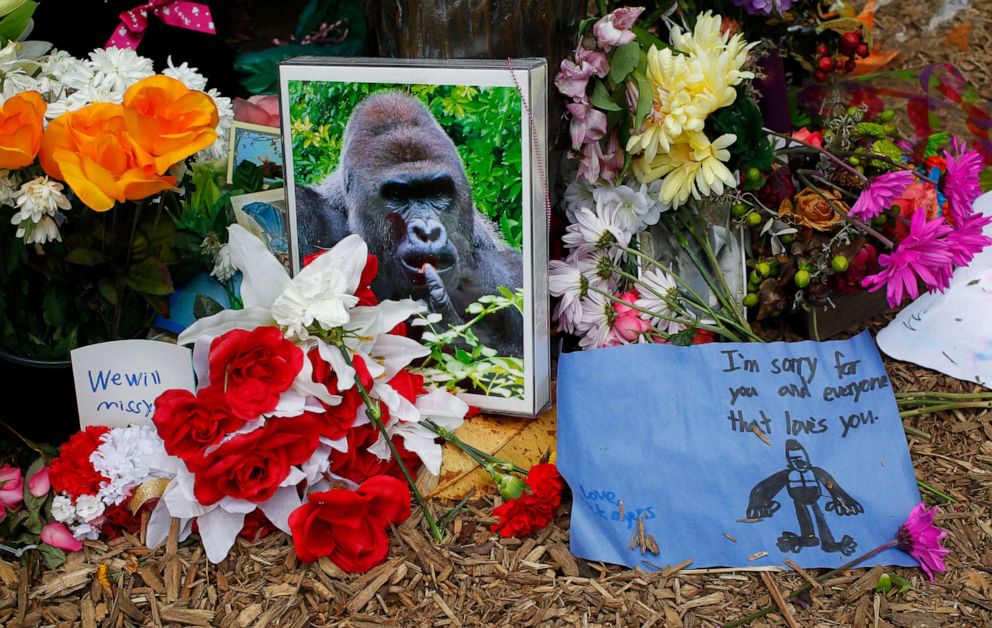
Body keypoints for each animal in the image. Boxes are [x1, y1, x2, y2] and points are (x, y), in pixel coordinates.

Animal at [296, 92, 524, 358]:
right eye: (398, 195)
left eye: (437, 192)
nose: (427, 232)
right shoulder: (305, 215)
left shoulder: (509, 276)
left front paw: (446, 328)